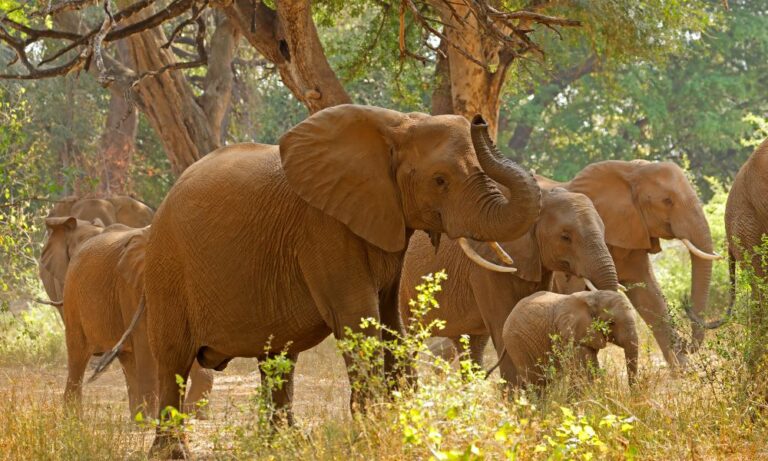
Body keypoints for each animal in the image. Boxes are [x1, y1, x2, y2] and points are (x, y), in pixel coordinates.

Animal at [51, 218, 212, 418]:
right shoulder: (130, 286)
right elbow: (146, 343)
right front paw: (154, 418)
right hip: (72, 296)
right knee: (77, 356)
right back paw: (73, 419)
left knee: (127, 360)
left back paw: (137, 418)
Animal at [103, 104, 542, 457]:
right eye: (440, 180)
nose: (479, 119)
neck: (396, 125)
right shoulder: (324, 229)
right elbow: (357, 320)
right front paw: (370, 436)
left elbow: (389, 322)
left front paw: (398, 426)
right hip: (166, 269)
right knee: (173, 360)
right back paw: (172, 453)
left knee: (278, 359)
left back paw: (284, 445)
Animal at [486, 290, 639, 388]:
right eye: (611, 323)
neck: (593, 296)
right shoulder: (569, 334)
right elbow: (584, 370)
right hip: (517, 342)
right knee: (536, 381)